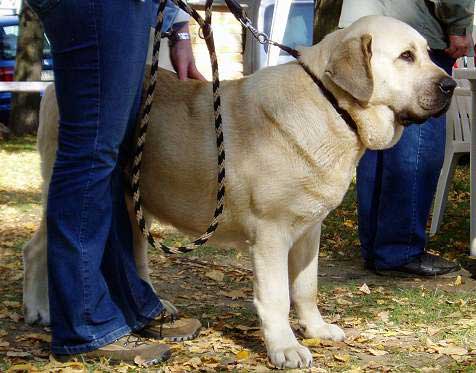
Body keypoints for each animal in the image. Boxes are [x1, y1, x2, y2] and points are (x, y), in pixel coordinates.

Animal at [22, 16, 454, 368]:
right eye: (406, 56)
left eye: (428, 54)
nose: (450, 84)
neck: (331, 106)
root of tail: (52, 88)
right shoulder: (271, 233)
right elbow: (277, 296)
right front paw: (285, 348)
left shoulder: (309, 231)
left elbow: (306, 287)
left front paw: (316, 329)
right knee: (37, 249)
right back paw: (40, 310)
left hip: (131, 205)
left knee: (133, 255)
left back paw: (156, 310)